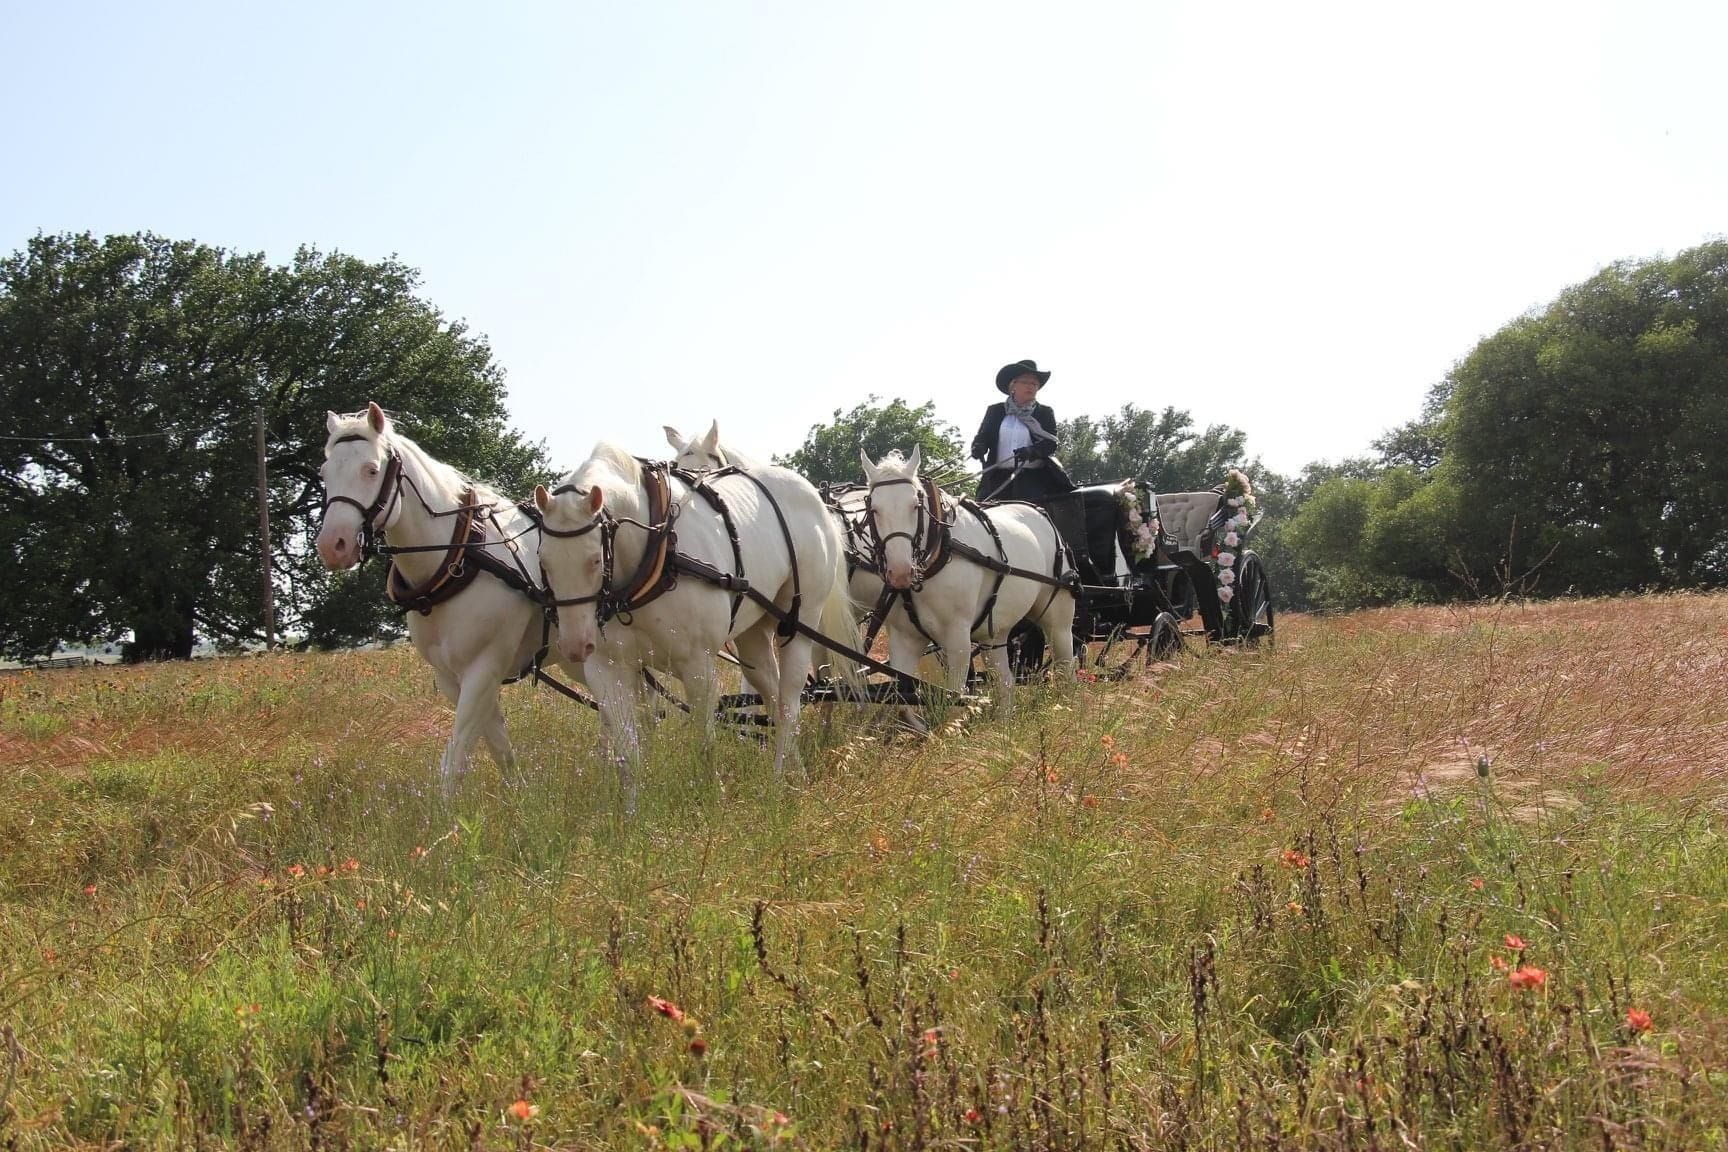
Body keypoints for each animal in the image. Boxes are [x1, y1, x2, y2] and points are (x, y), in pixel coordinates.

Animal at [315, 402, 579, 790]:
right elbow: (498, 746)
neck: (458, 557)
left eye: (371, 470)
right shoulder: (451, 677)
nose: (333, 545)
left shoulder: (483, 668)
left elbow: (455, 760)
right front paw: (518, 794)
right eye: (324, 472)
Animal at [534, 442, 858, 798]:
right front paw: (632, 809)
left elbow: (705, 743)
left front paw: (711, 797)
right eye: (543, 561)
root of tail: (816, 497)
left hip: (799, 623)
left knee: (789, 703)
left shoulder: (697, 665)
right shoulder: (607, 670)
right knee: (772, 696)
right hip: (753, 635)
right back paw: (794, 770)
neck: (654, 555)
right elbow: (627, 753)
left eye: (594, 560)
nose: (575, 646)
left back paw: (778, 780)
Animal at [859, 445, 1077, 712]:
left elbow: (955, 697)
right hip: (994, 633)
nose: (901, 572)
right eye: (874, 510)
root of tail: (1040, 512)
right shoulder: (904, 640)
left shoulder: (958, 641)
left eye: (915, 505)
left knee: (1066, 670)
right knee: (1005, 682)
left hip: (1058, 622)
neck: (936, 556)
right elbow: (900, 699)